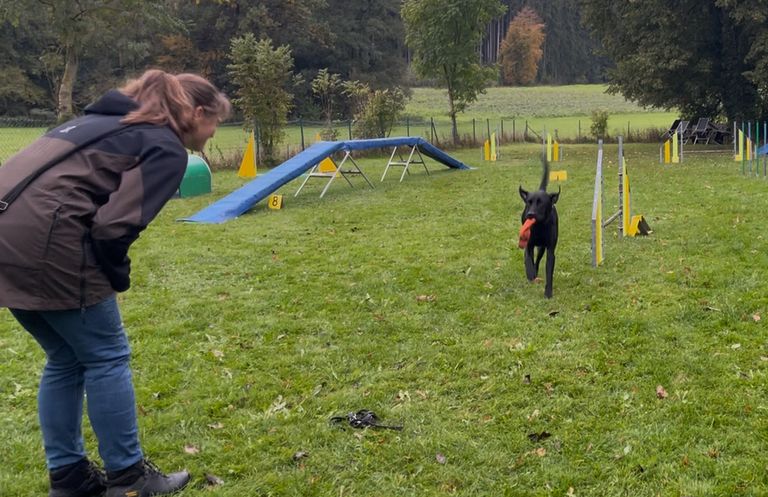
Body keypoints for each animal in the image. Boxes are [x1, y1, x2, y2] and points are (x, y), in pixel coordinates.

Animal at [518, 158, 560, 298]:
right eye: (528, 202)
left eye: (541, 203)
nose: (530, 214)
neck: (540, 226)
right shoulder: (529, 244)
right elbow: (528, 259)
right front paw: (530, 274)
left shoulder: (550, 250)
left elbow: (549, 271)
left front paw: (548, 292)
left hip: (542, 248)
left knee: (538, 259)